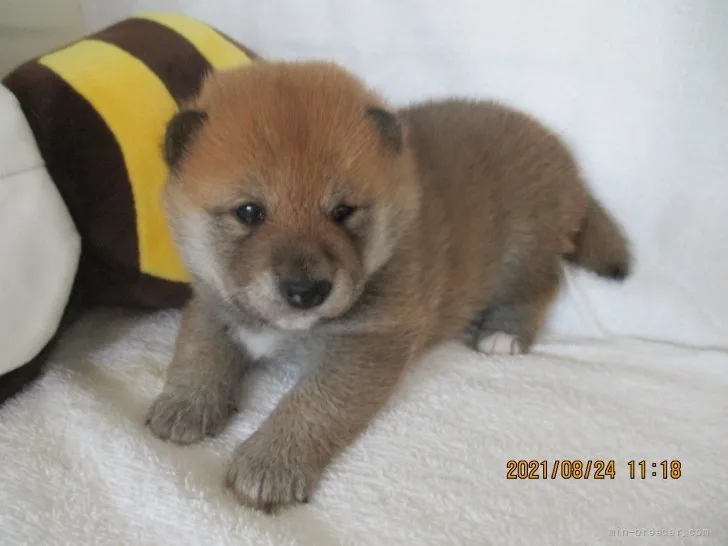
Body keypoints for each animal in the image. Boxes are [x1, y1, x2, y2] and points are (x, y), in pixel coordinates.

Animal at [146, 60, 632, 510]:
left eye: (342, 211)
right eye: (249, 212)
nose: (306, 291)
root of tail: (566, 160)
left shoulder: (369, 340)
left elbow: (313, 404)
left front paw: (271, 461)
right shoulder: (212, 301)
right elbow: (198, 350)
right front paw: (185, 403)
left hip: (523, 251)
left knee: (541, 285)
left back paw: (502, 334)